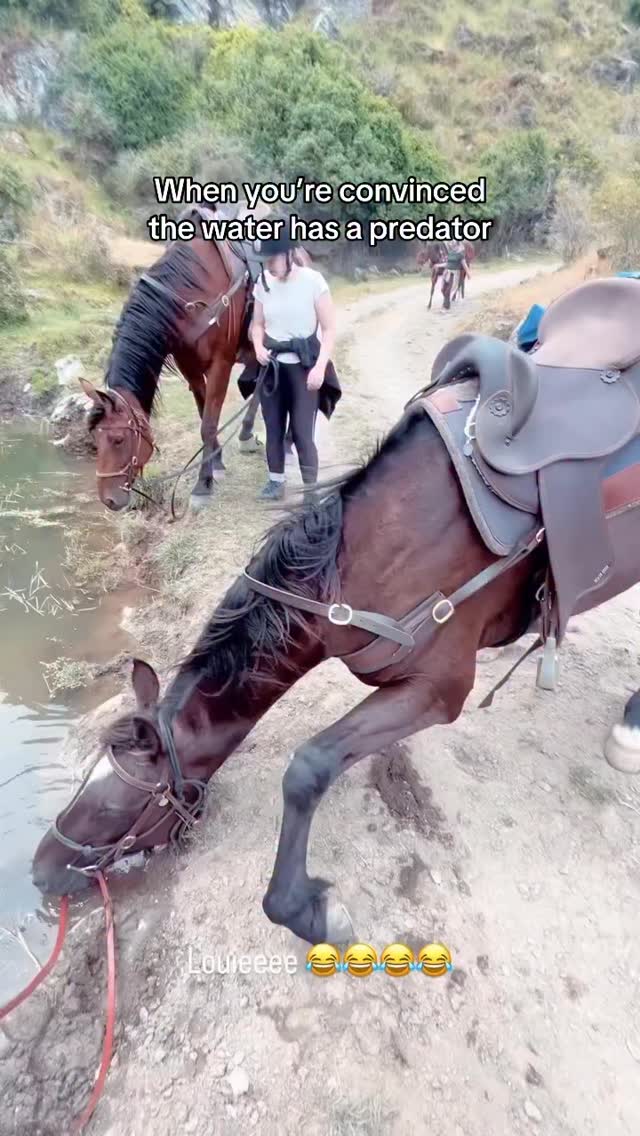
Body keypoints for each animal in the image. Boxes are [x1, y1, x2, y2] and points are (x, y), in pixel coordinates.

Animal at [32, 331, 640, 944]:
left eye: (115, 809)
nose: (40, 870)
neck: (374, 557)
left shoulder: (441, 689)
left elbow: (308, 769)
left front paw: (304, 909)